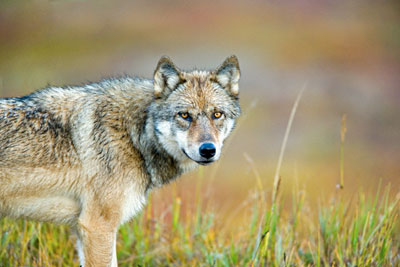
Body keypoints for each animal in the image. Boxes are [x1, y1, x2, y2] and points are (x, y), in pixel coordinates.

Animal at [0, 56, 241, 266]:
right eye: (184, 116)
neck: (134, 134)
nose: (208, 150)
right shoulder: (96, 226)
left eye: (217, 115)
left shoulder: (83, 228)